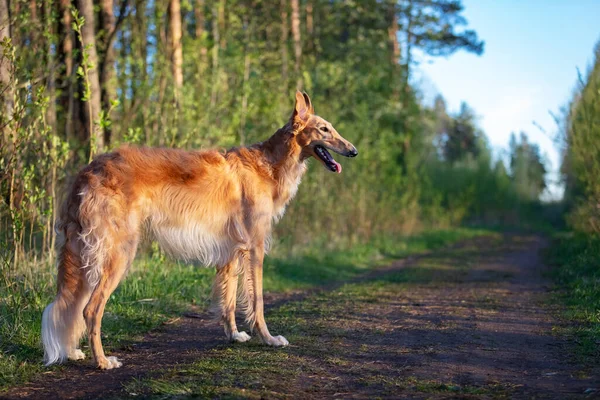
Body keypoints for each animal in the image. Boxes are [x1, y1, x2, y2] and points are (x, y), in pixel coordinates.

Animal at [42, 90, 356, 368]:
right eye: (324, 129)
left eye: (332, 128)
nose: (353, 151)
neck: (267, 165)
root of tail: (87, 171)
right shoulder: (254, 247)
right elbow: (257, 301)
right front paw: (268, 339)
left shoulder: (231, 250)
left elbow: (229, 300)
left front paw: (235, 335)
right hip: (118, 252)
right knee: (90, 310)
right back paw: (103, 361)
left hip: (87, 254)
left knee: (73, 307)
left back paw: (73, 352)